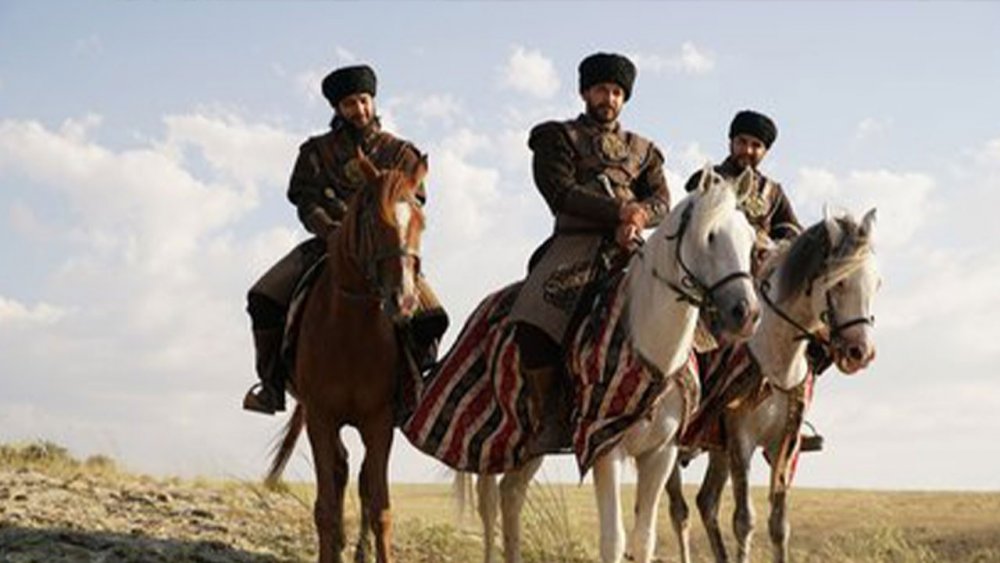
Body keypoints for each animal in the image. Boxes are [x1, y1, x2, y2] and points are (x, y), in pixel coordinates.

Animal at [265, 153, 427, 563]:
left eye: (421, 221)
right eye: (374, 221)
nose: (404, 301)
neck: (351, 332)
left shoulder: (379, 423)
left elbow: (380, 505)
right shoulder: (321, 419)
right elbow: (325, 506)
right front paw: (331, 546)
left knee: (363, 480)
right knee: (340, 471)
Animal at [440, 166, 761, 563]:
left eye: (750, 240)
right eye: (711, 236)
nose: (746, 313)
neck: (651, 354)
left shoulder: (660, 455)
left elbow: (643, 539)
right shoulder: (606, 448)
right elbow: (614, 540)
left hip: (530, 448)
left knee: (511, 494)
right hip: (495, 432)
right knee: (488, 501)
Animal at [664, 208, 881, 563]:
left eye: (876, 283)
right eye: (839, 281)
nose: (860, 353)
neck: (776, 361)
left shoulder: (784, 442)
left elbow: (779, 524)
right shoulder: (741, 441)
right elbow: (744, 521)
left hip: (716, 447)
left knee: (706, 502)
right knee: (677, 510)